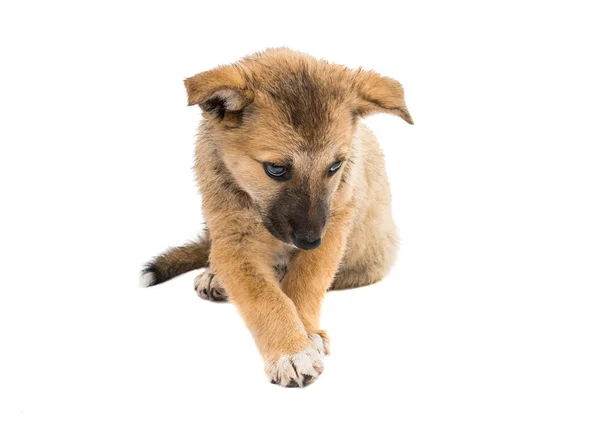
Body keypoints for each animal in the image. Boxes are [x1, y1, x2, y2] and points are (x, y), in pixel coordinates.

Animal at [141, 47, 412, 388]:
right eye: (276, 169)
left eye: (335, 166)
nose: (309, 241)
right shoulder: (233, 239)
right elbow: (265, 297)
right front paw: (290, 350)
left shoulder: (334, 224)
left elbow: (304, 283)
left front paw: (305, 338)